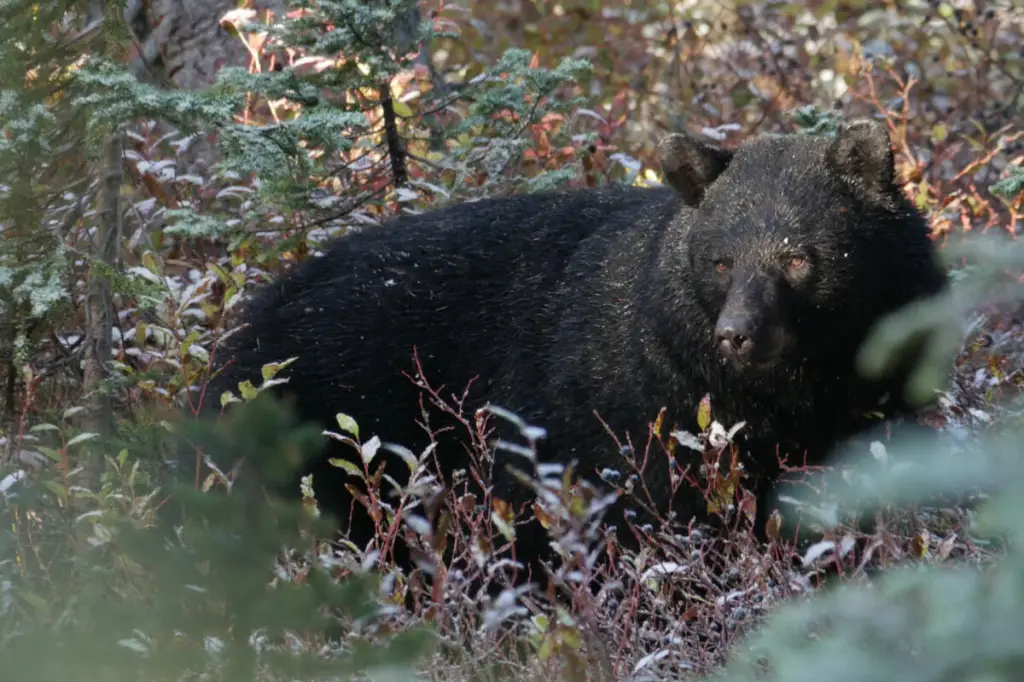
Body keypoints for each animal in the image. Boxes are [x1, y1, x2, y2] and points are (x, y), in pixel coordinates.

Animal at [191, 118, 950, 589]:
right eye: (722, 260)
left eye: (797, 257)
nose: (739, 334)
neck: (786, 393)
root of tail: (235, 340)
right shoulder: (638, 417)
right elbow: (655, 523)